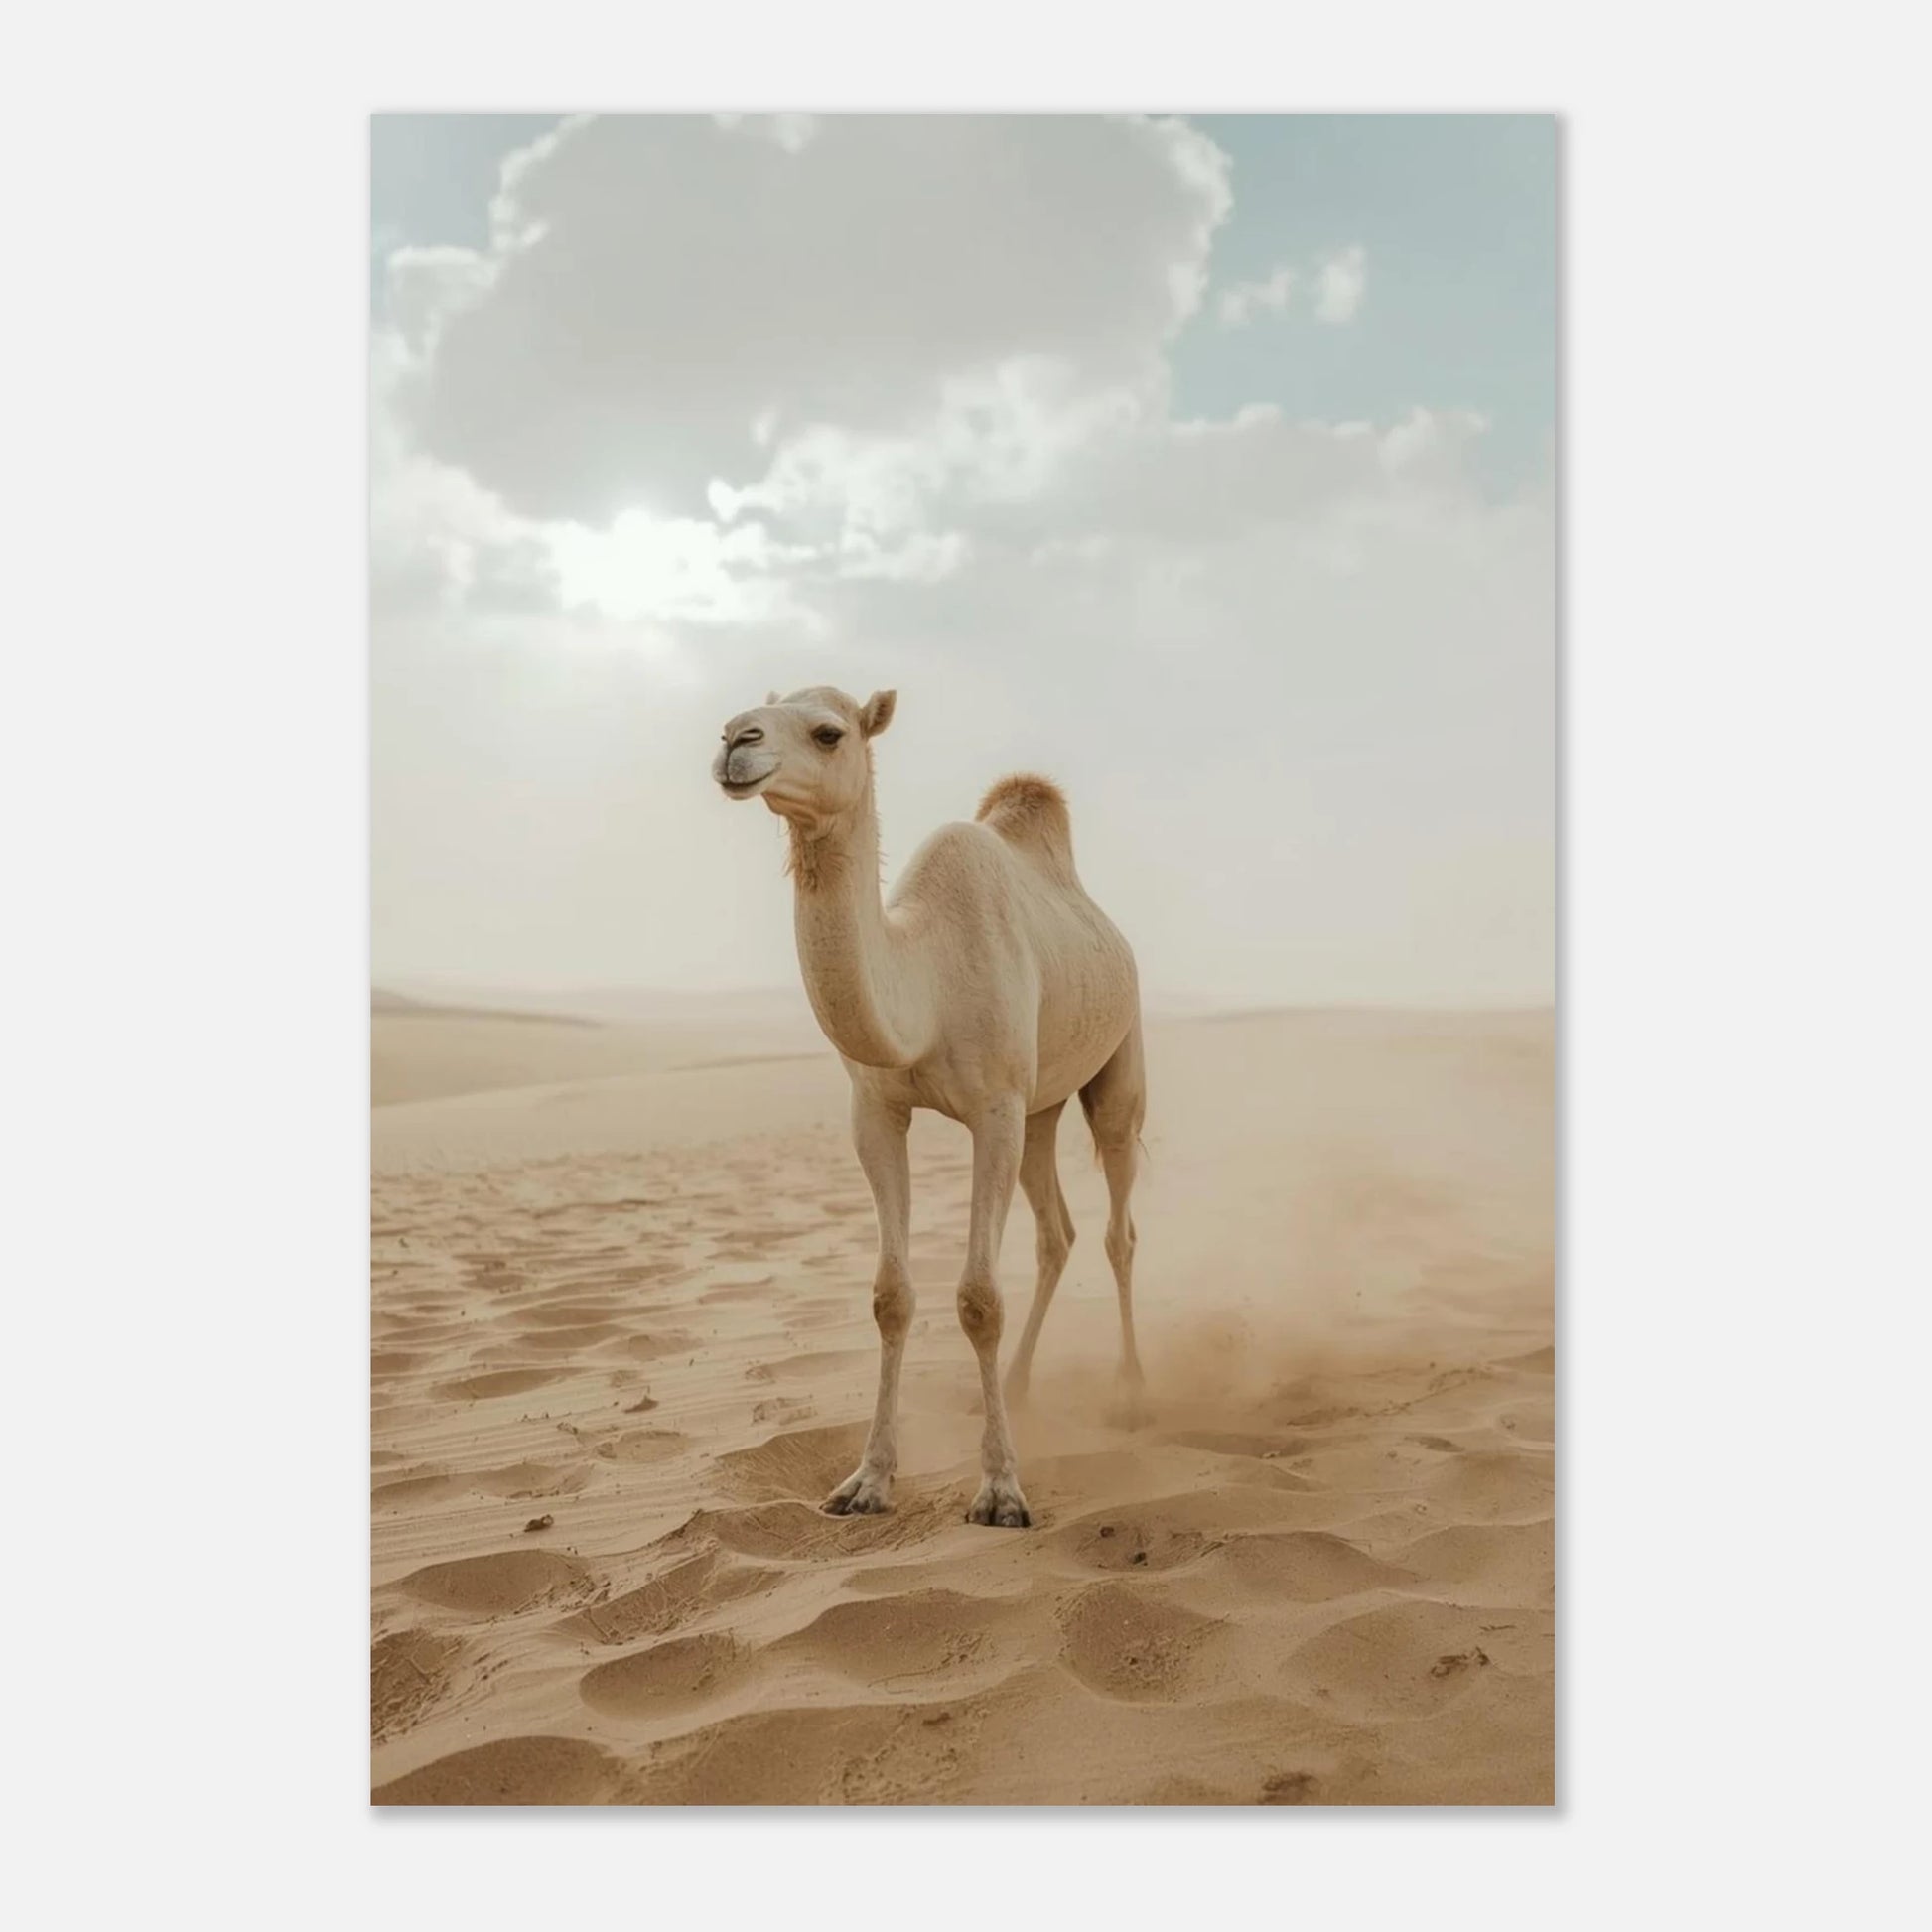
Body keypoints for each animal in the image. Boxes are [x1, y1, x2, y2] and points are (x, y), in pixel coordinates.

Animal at [711, 685, 1146, 1528]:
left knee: (1118, 1227)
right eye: (745, 715)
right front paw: (866, 1481)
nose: (733, 743)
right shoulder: (877, 1112)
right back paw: (1015, 1384)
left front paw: (1001, 1491)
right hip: (1041, 1108)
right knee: (1057, 1232)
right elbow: (891, 1296)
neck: (928, 983)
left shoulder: (995, 1109)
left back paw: (1131, 1387)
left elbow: (978, 1298)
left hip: (1119, 1063)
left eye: (829, 732)